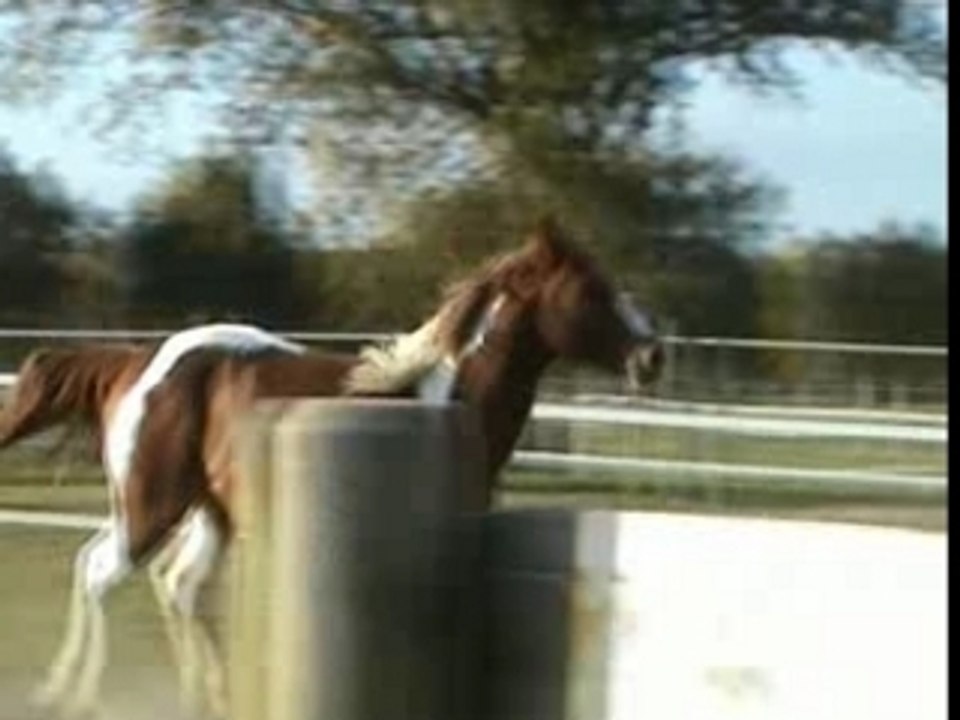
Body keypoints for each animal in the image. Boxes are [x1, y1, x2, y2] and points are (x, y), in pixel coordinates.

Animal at [0, 218, 663, 717]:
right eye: (591, 290)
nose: (652, 356)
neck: (447, 398)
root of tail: (137, 363)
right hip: (151, 505)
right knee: (103, 575)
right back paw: (72, 696)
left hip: (201, 511)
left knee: (167, 582)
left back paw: (200, 698)